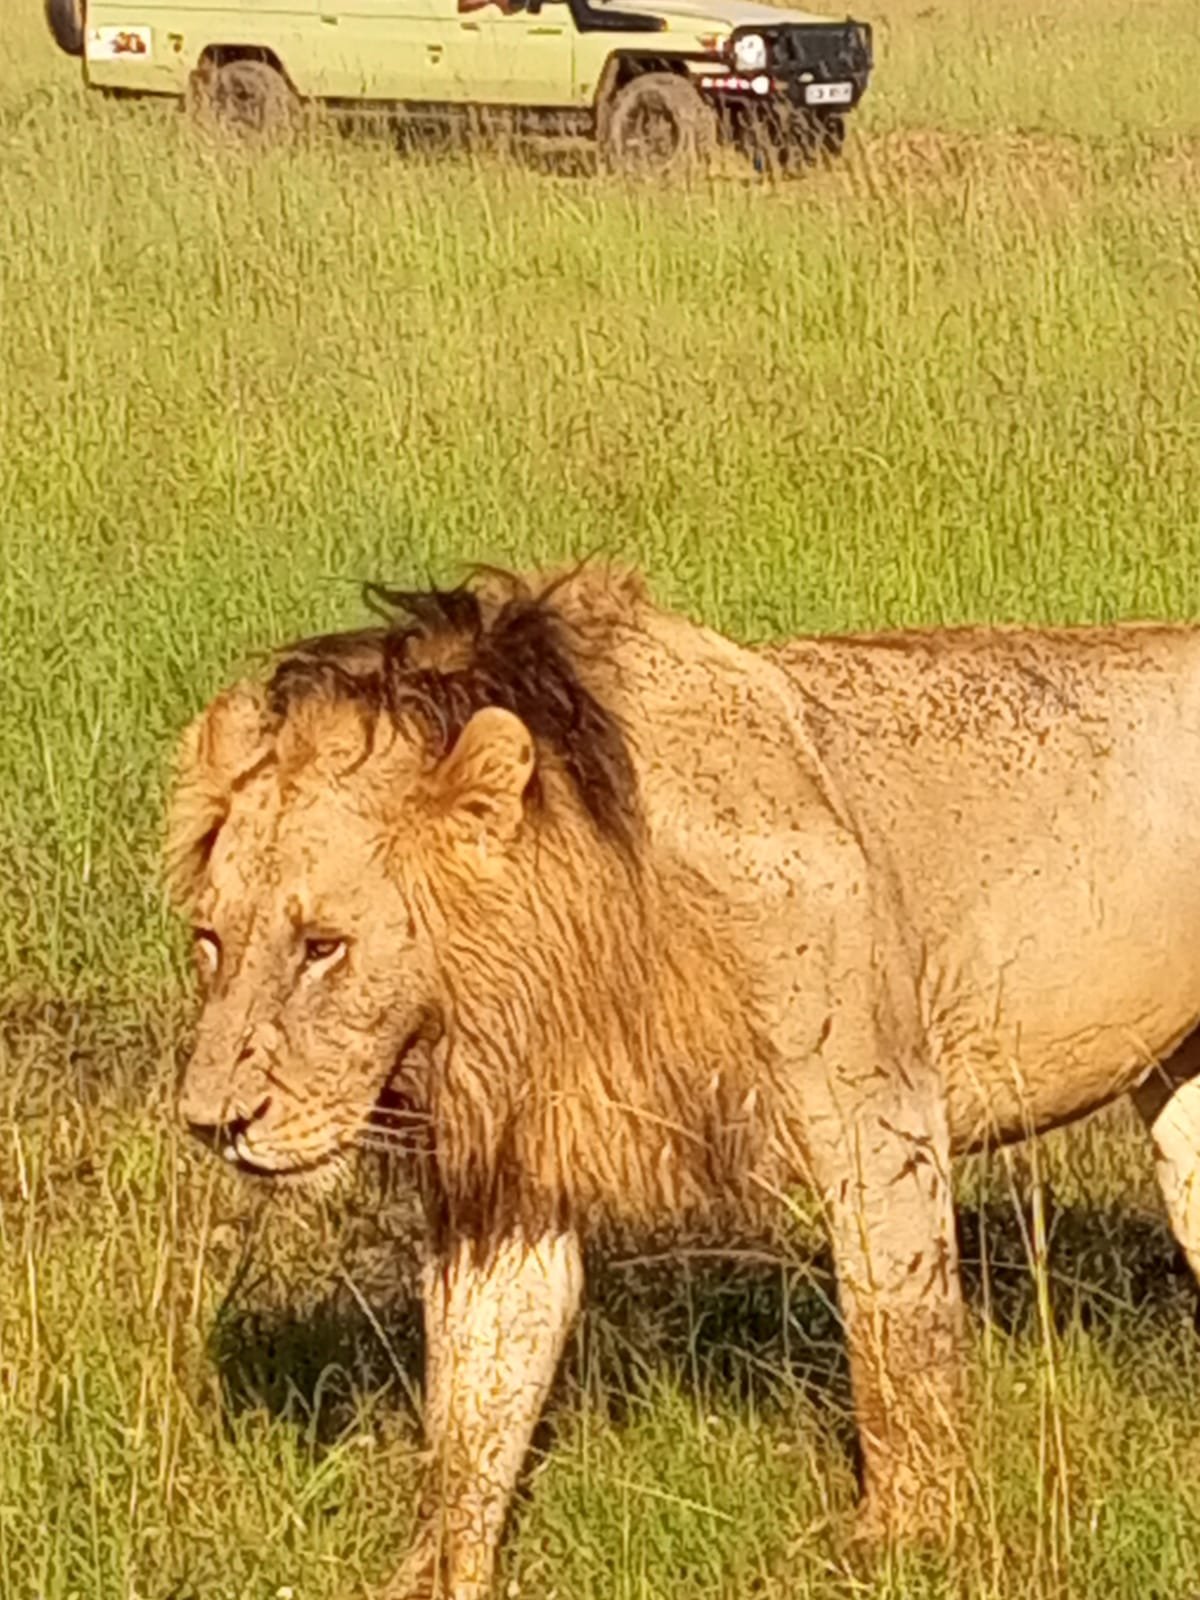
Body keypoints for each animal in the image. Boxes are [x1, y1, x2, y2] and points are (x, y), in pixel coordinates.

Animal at [171, 563, 1200, 1600]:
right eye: (211, 939)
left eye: (323, 947)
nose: (210, 1122)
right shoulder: (514, 1177)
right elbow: (473, 1401)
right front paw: (433, 1573)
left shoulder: (880, 1111)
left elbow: (898, 1348)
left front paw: (907, 1544)